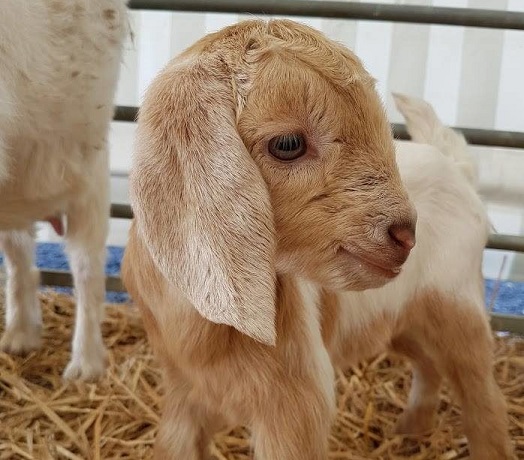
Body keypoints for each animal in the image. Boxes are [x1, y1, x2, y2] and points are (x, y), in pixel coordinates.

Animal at [122, 18, 512, 460]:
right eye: (288, 144)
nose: (405, 233)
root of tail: (456, 168)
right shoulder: (183, 397)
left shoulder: (297, 402)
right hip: (403, 319)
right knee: (427, 364)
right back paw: (410, 430)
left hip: (458, 305)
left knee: (483, 398)